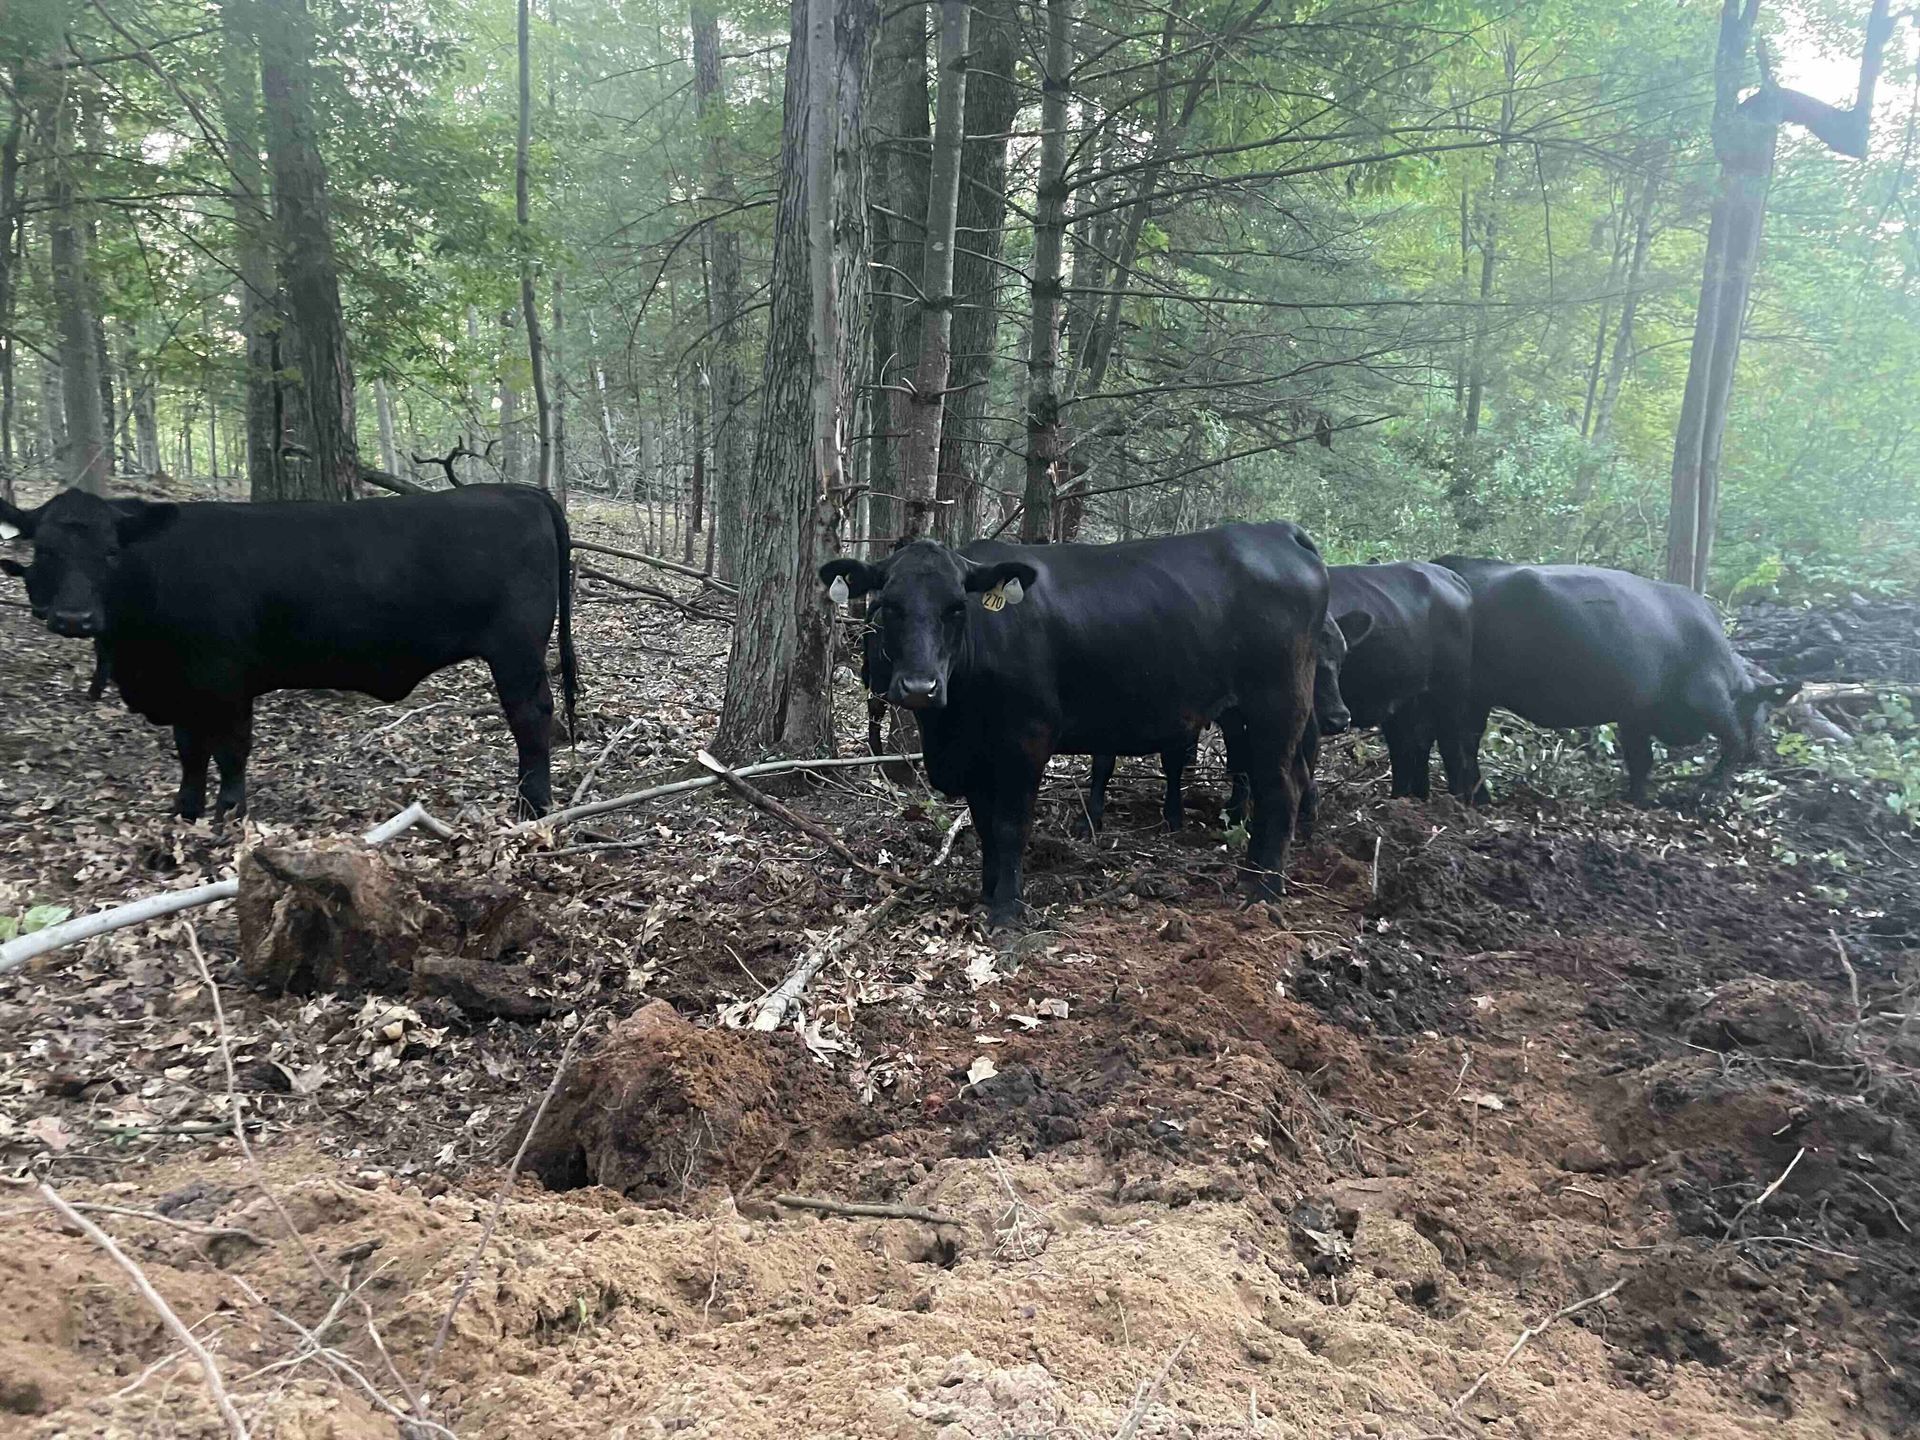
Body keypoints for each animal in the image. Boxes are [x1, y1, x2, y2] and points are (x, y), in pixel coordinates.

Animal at [0, 484, 578, 819]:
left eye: (110, 552)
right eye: (44, 550)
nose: (74, 618)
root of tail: (514, 492)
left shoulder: (224, 678)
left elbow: (230, 749)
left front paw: (229, 812)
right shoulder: (184, 687)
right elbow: (190, 750)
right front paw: (185, 808)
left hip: (516, 650)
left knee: (531, 717)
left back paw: (532, 803)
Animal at [823, 526, 1329, 928]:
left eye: (956, 608)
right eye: (889, 606)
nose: (919, 687)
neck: (952, 726)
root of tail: (1276, 532)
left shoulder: (1025, 740)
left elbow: (1009, 825)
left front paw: (1006, 910)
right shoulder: (979, 756)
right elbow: (985, 825)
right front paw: (987, 894)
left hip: (1277, 706)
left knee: (1282, 787)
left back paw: (1263, 890)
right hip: (1242, 717)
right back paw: (1252, 876)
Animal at [1432, 555, 1799, 804]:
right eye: (1761, 713)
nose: (1760, 756)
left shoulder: (1636, 712)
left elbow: (1641, 759)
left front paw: (1638, 798)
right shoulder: (1708, 695)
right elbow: (1732, 738)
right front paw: (1709, 791)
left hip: (1472, 696)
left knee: (1458, 742)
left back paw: (1468, 796)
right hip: (1471, 693)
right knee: (1460, 742)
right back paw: (1475, 797)